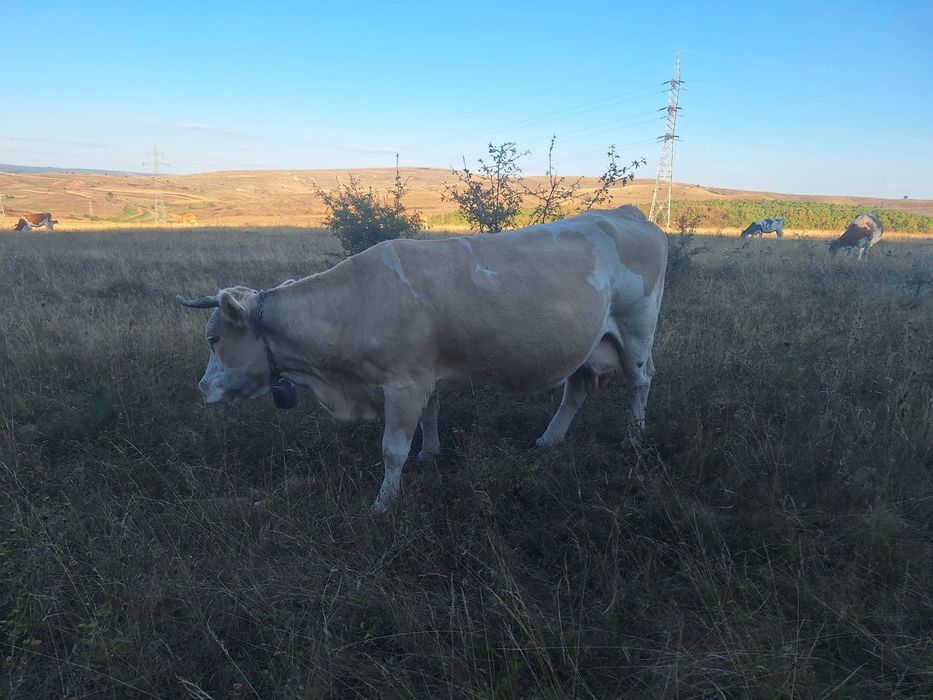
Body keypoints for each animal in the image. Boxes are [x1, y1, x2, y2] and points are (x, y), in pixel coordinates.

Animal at [177, 205, 668, 513]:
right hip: (587, 342)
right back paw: (549, 439)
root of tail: (624, 213)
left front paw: (383, 503)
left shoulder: (403, 381)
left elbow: (392, 448)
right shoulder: (425, 372)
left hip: (637, 328)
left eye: (213, 338)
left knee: (641, 381)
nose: (201, 388)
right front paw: (429, 453)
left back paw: (634, 438)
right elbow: (430, 415)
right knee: (577, 388)